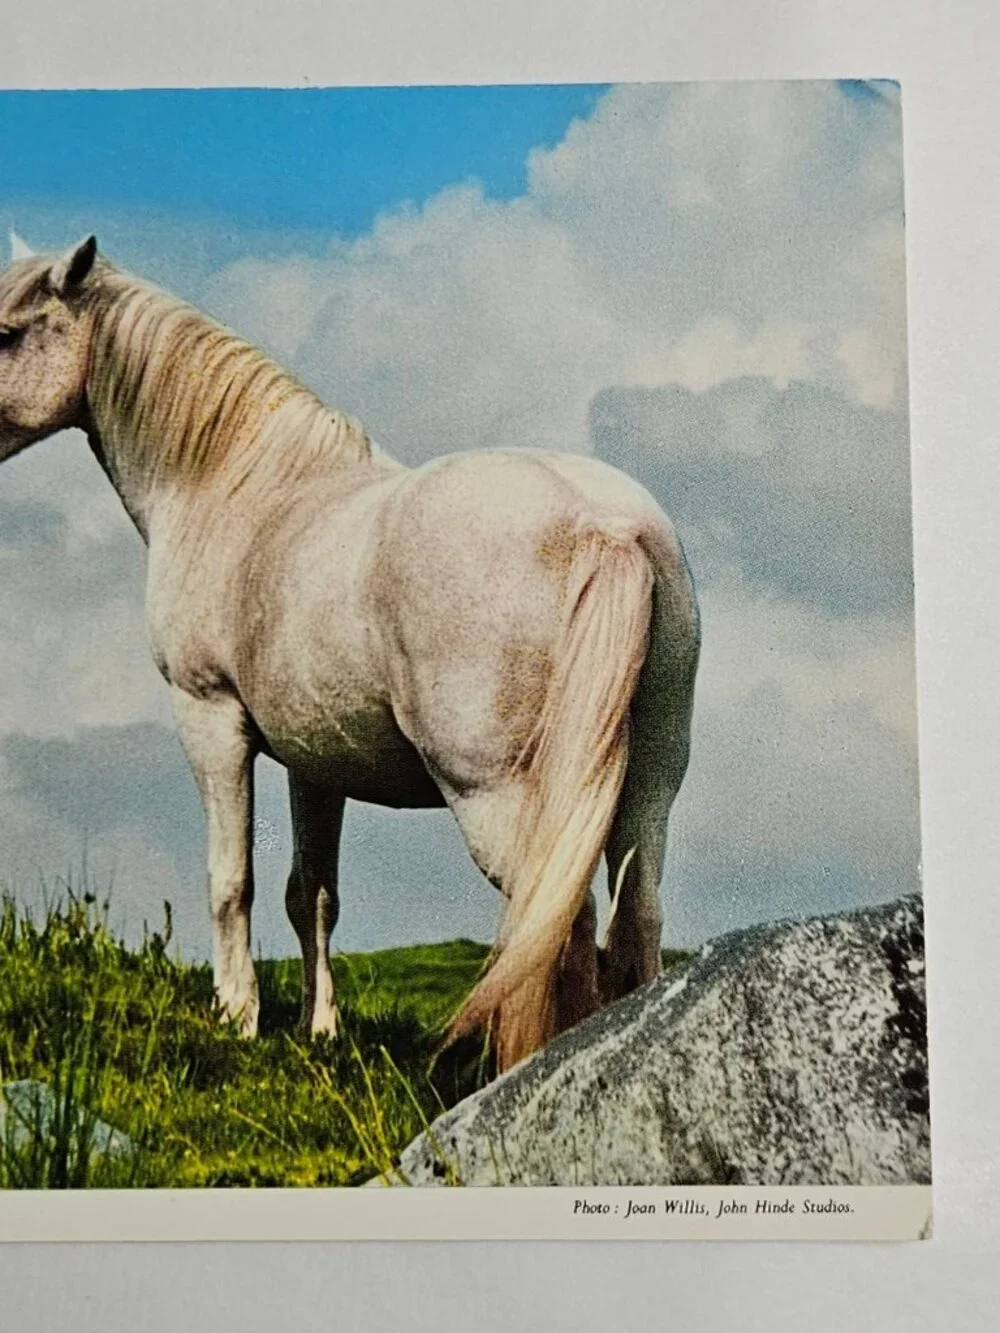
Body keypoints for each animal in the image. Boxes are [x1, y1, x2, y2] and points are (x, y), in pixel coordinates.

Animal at [0, 235, 700, 1072]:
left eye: (6, 333)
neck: (237, 487)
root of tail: (605, 528)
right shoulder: (313, 758)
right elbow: (313, 893)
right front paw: (320, 1029)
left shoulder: (211, 718)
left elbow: (231, 879)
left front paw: (236, 1015)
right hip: (648, 786)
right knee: (637, 914)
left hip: (496, 795)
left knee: (559, 919)